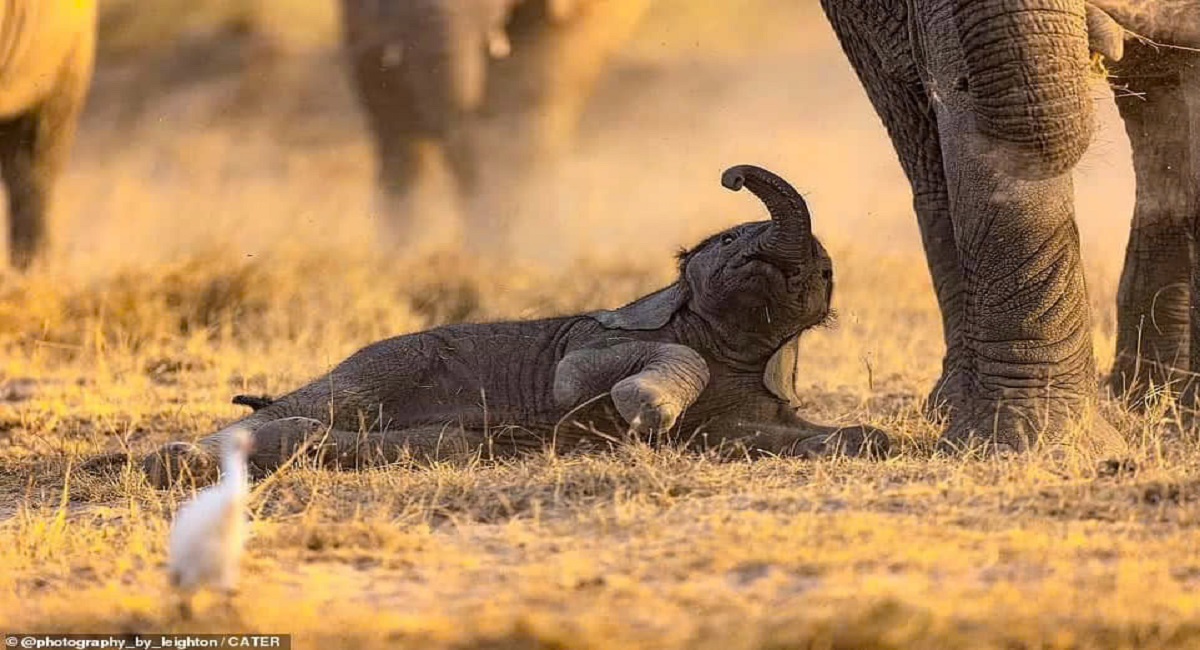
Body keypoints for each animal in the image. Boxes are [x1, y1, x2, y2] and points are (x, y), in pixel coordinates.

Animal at [140, 165, 892, 486]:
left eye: (822, 272)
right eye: (731, 237)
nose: (733, 177)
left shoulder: (753, 404)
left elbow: (761, 435)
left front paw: (865, 440)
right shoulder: (600, 340)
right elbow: (575, 381)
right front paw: (641, 411)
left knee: (432, 444)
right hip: (384, 364)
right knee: (318, 407)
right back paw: (172, 462)